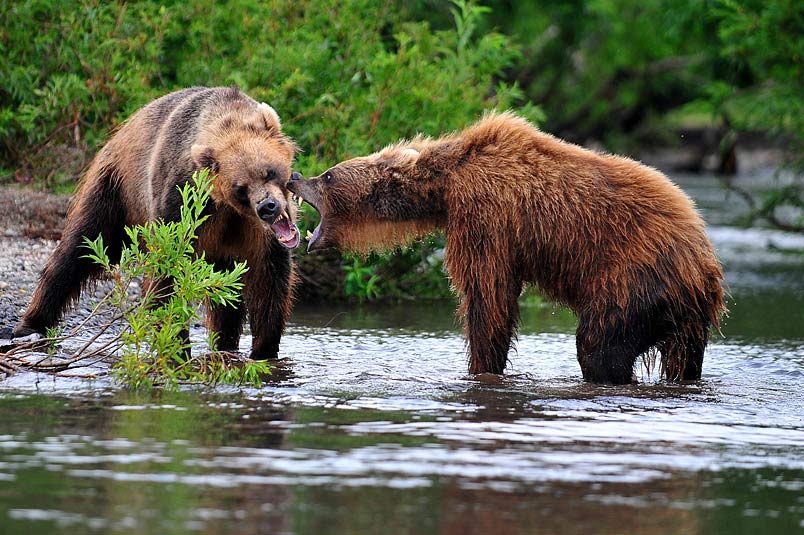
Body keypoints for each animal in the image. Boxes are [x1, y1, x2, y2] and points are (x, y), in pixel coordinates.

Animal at [14, 85, 300, 360]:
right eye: (241, 188)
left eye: (268, 171)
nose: (267, 207)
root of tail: (124, 128)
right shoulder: (182, 201)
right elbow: (166, 273)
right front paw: (177, 348)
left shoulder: (253, 233)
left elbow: (268, 278)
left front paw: (264, 350)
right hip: (116, 191)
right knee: (81, 248)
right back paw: (31, 324)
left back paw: (225, 345)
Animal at [288, 112, 728, 386]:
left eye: (327, 176)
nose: (294, 176)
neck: (445, 185)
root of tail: (704, 261)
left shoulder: (486, 216)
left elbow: (488, 297)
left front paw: (481, 368)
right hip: (687, 319)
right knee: (684, 360)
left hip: (633, 279)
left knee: (600, 345)